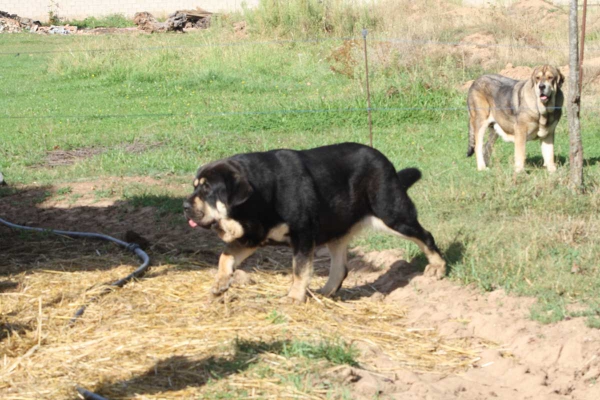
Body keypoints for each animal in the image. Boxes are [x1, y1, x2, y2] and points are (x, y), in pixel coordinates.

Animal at [183, 142, 446, 302]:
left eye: (207, 189)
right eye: (195, 187)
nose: (185, 206)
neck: (260, 197)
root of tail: (384, 159)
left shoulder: (302, 235)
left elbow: (300, 270)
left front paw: (294, 297)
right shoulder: (252, 237)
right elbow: (225, 257)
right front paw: (221, 283)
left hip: (391, 215)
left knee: (426, 236)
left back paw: (438, 266)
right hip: (337, 230)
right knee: (340, 268)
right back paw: (326, 292)